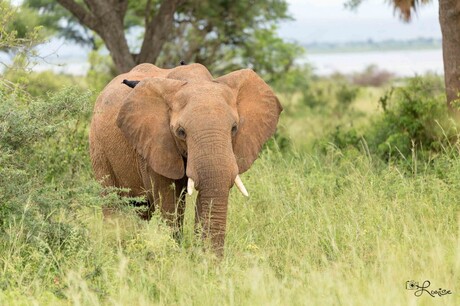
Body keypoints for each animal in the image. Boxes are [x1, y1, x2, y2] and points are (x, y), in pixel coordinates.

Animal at [89, 63, 282, 255]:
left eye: (234, 128)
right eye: (181, 132)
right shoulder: (154, 144)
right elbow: (168, 199)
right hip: (98, 148)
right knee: (113, 203)